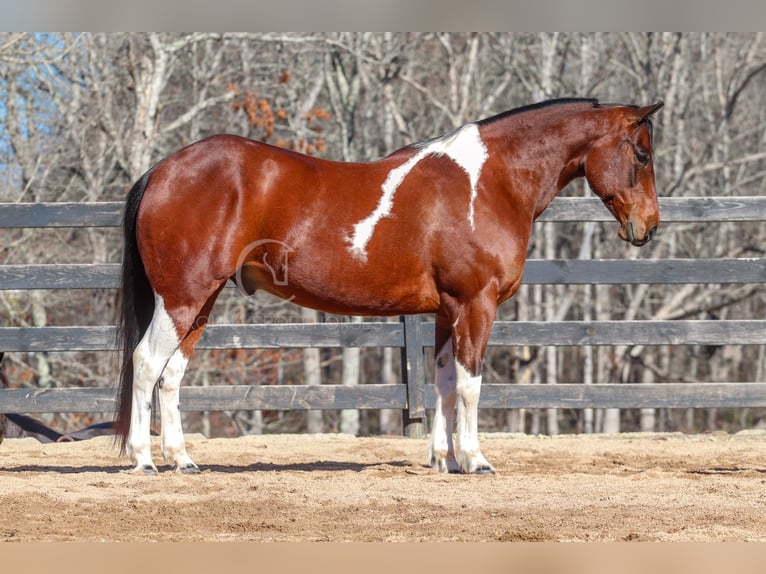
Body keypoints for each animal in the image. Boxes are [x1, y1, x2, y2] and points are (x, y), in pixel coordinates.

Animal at [114, 99, 664, 476]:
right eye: (641, 154)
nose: (648, 227)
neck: (488, 183)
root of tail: (163, 170)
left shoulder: (446, 310)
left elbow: (444, 381)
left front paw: (443, 460)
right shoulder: (476, 304)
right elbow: (470, 383)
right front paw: (475, 459)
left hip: (200, 302)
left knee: (172, 375)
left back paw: (183, 459)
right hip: (181, 298)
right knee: (147, 362)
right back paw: (145, 460)